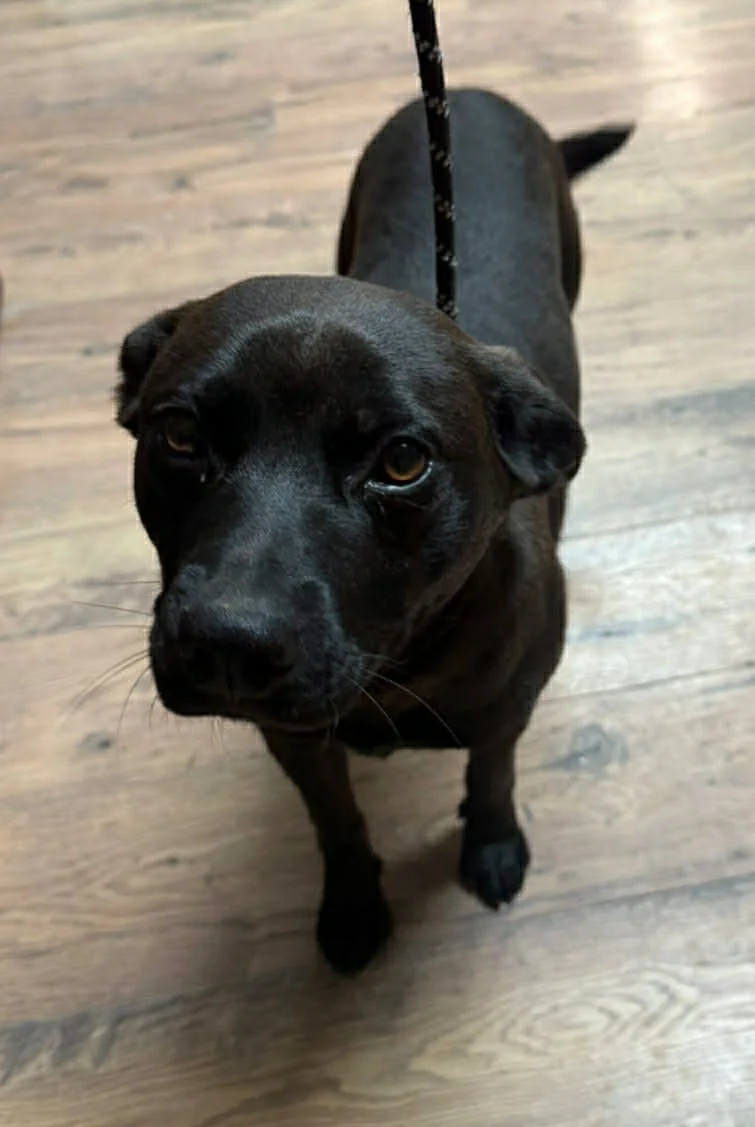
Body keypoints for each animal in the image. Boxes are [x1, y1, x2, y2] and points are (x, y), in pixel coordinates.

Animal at [115, 89, 632, 974]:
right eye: (179, 436)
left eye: (401, 461)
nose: (225, 645)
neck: (394, 672)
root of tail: (473, 94)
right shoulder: (295, 742)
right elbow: (337, 820)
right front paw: (354, 905)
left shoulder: (506, 712)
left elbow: (492, 777)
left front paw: (491, 846)